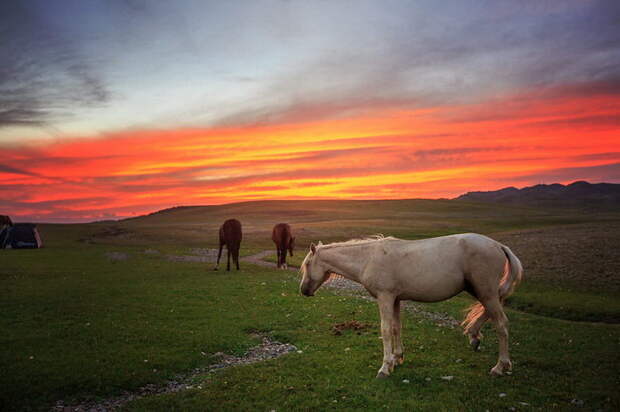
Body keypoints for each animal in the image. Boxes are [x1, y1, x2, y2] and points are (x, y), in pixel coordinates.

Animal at [300, 235, 524, 380]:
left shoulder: (385, 298)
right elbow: (396, 328)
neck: (369, 258)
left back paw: (500, 366)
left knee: (501, 324)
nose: (303, 290)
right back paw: (474, 335)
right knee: (489, 313)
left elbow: (385, 330)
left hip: (486, 292)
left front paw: (384, 368)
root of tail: (498, 245)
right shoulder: (395, 299)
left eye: (307, 265)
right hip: (483, 292)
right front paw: (396, 357)